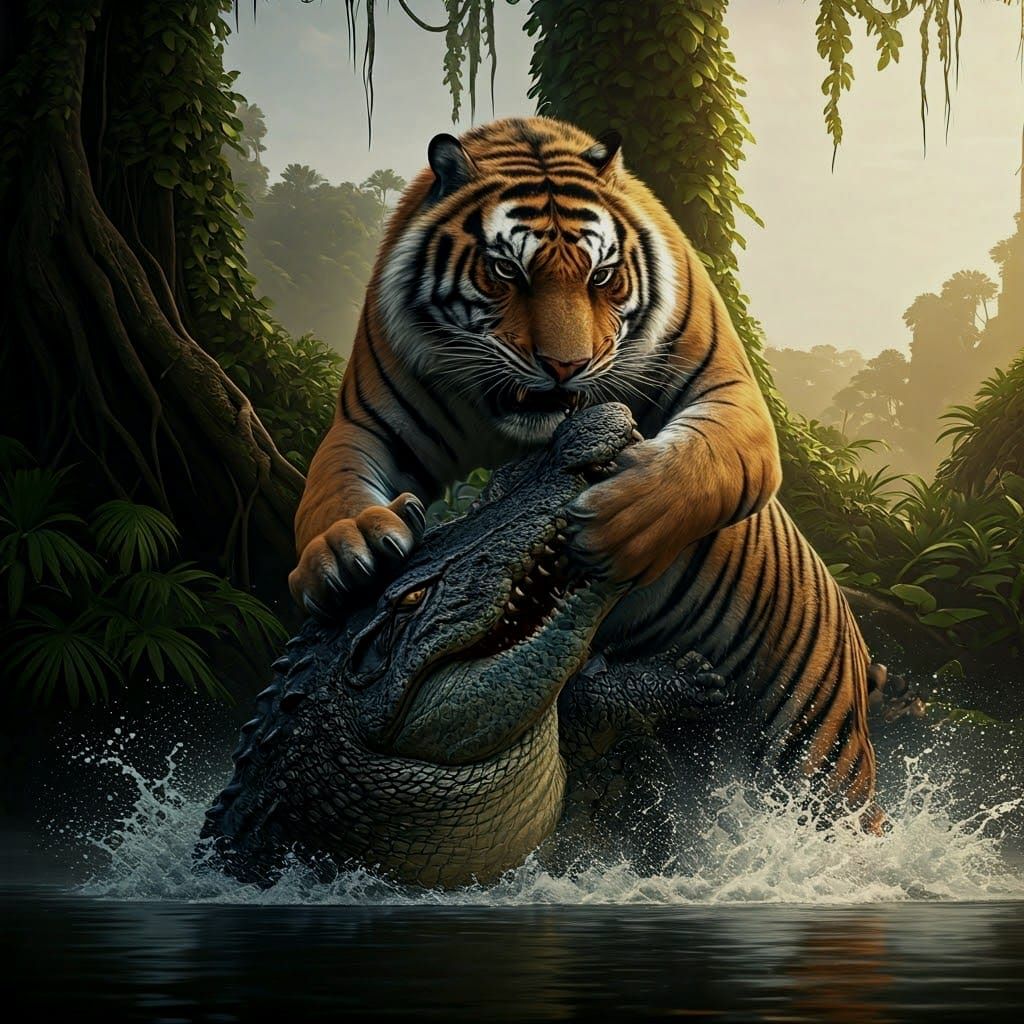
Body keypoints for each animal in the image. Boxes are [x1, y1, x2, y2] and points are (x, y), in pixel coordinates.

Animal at [290, 115, 881, 827]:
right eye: (506, 272)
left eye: (601, 277)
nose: (565, 368)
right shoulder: (370, 417)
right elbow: (329, 487)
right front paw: (346, 557)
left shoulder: (731, 396)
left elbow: (695, 468)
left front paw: (614, 529)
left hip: (821, 756)